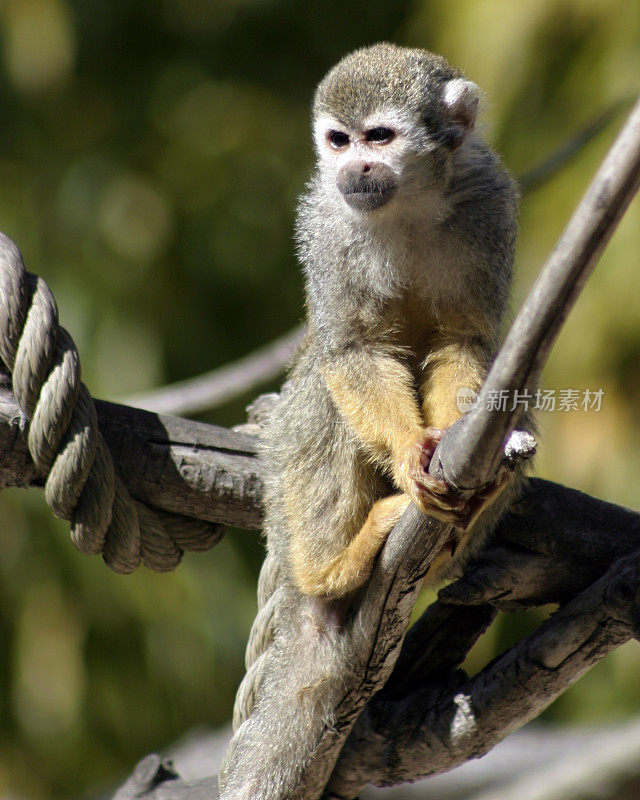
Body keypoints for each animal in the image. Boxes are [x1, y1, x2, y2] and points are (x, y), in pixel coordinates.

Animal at [262, 42, 516, 592]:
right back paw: (331, 569)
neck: (409, 204)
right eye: (339, 141)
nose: (355, 168)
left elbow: (463, 341)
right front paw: (407, 450)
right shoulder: (325, 220)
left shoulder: (489, 203)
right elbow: (353, 350)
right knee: (323, 381)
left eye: (379, 137)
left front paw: (456, 440)